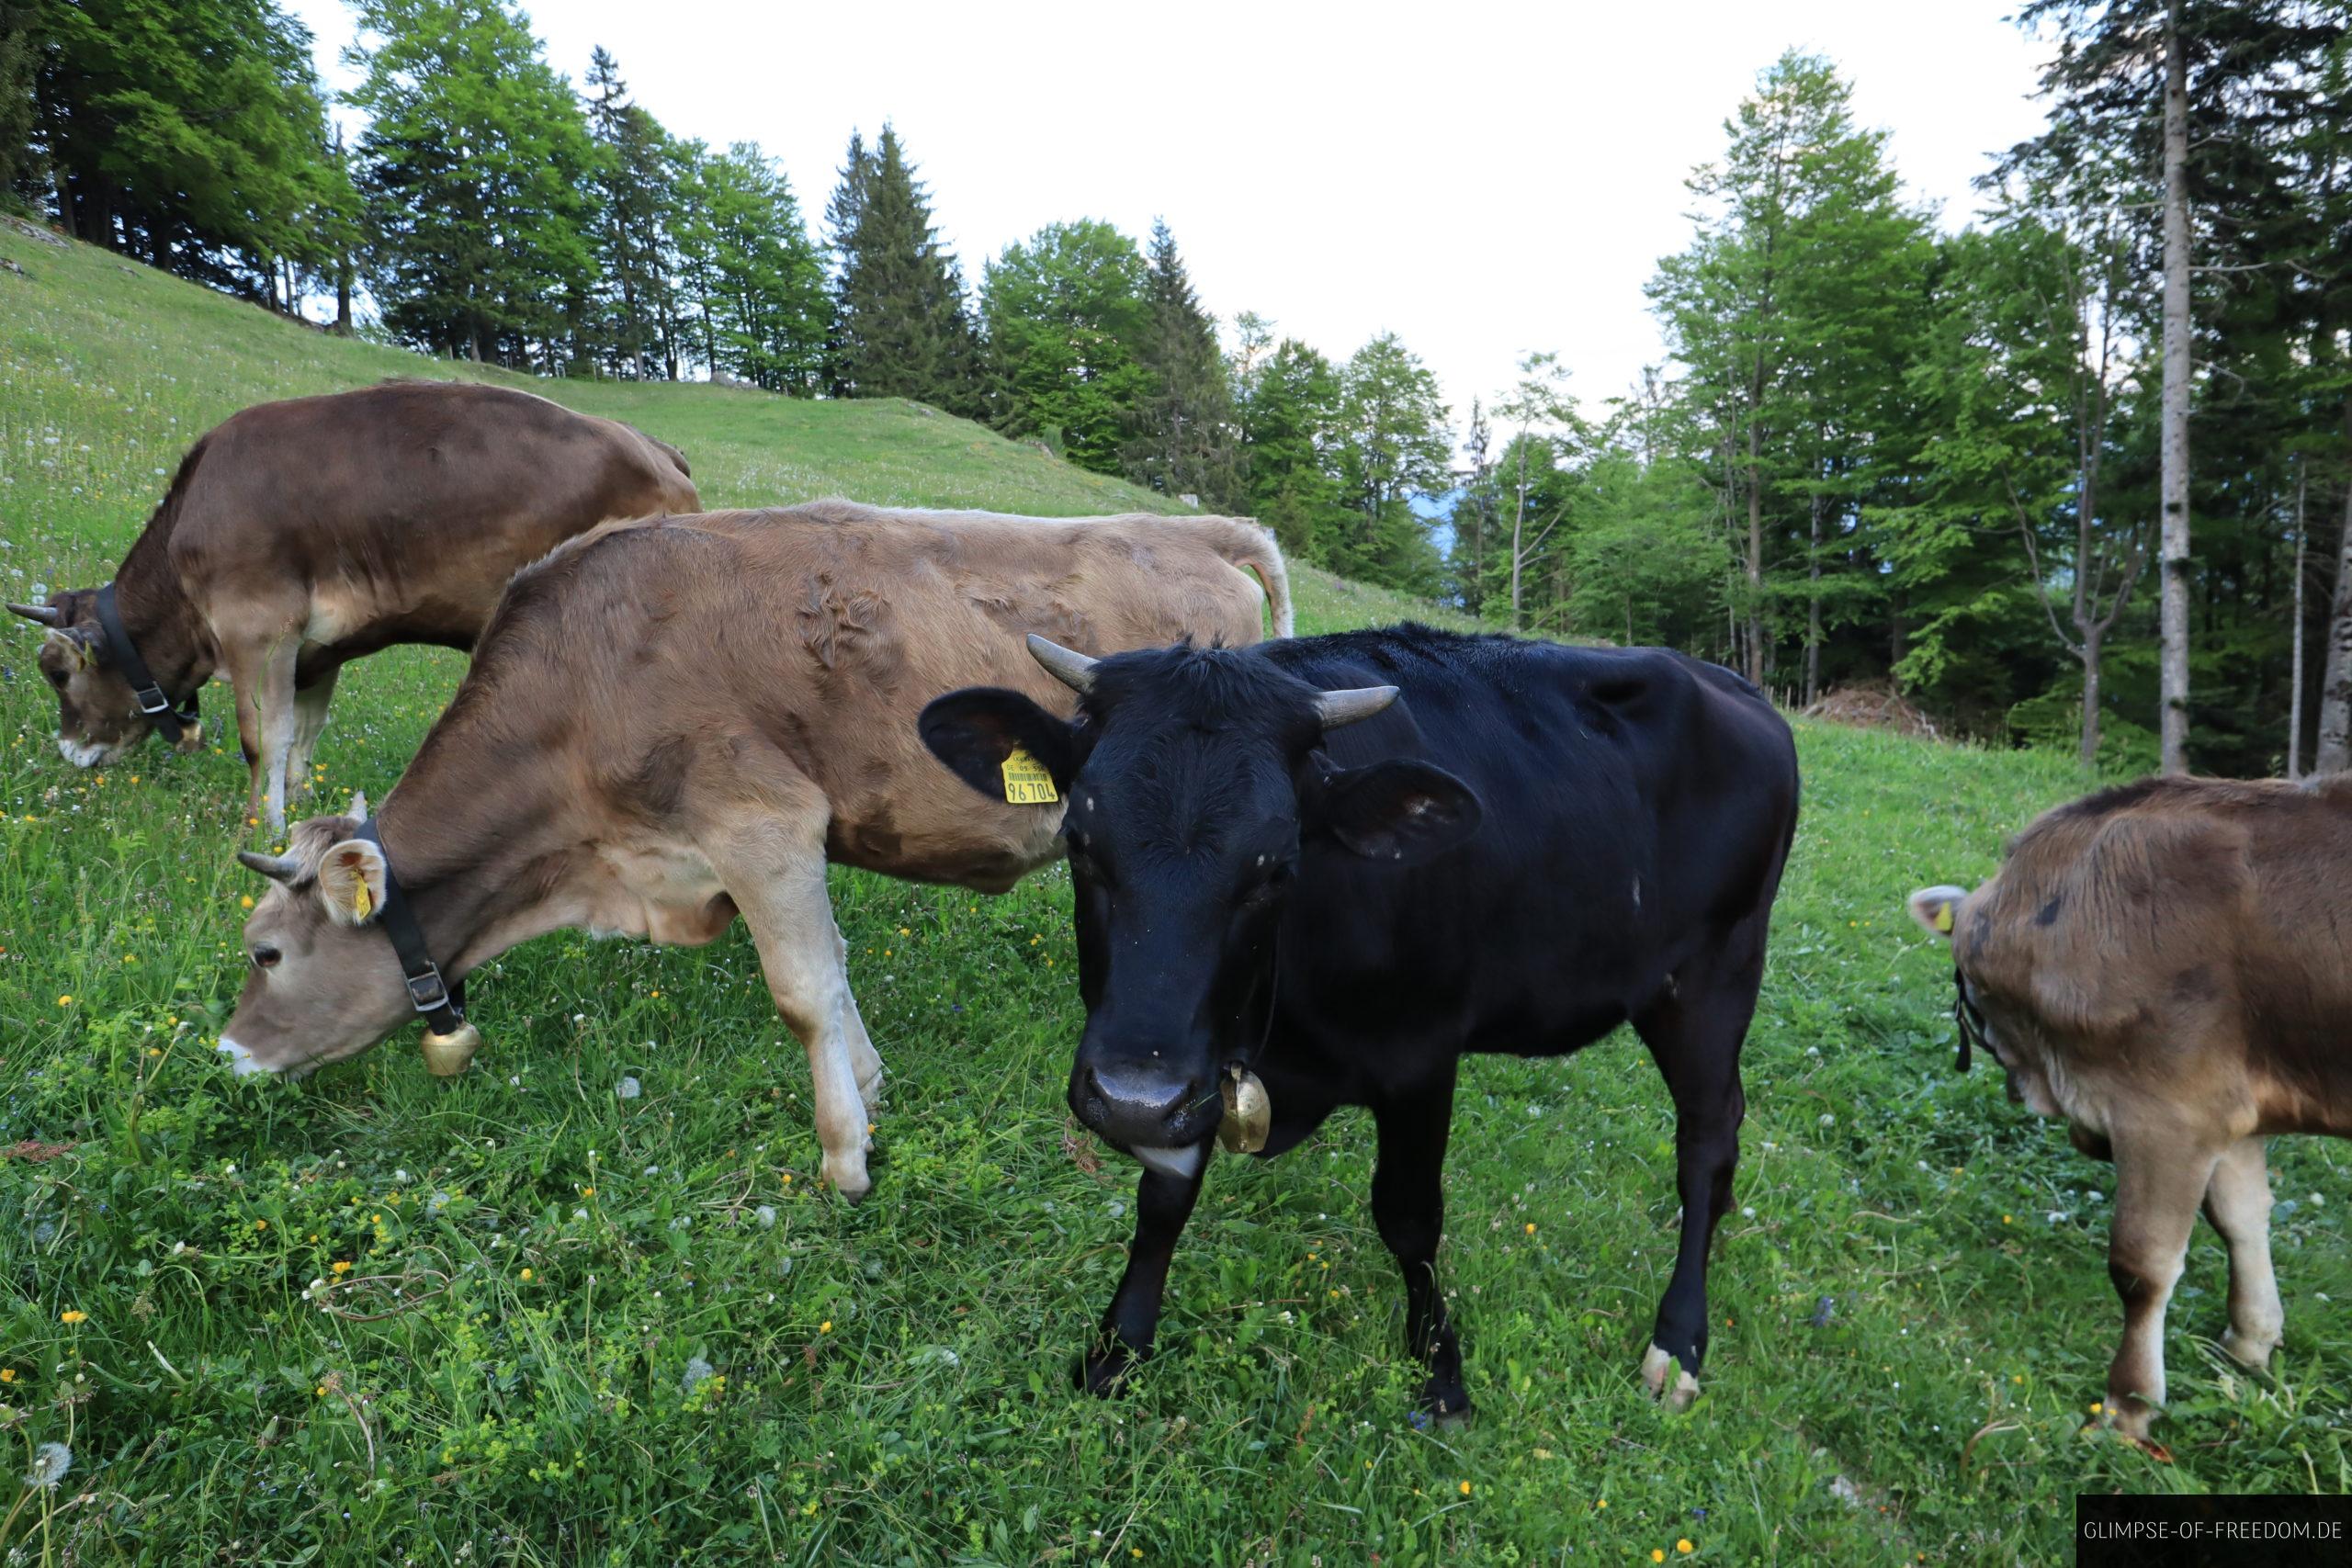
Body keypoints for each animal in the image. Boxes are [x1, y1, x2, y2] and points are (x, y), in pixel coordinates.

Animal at [8, 380, 701, 831]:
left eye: (58, 672)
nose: (69, 751)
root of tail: (655, 448)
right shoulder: (317, 652)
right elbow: (301, 740)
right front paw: (295, 820)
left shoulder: (256, 630)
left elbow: (262, 740)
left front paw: (256, 831)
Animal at [216, 503, 1293, 1204]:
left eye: (266, 952)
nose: (226, 1055)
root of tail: (1195, 527)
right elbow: (838, 969)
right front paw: (869, 1087)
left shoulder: (761, 822)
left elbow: (801, 992)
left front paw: (844, 1162)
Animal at [917, 625, 1799, 1417]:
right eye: (1080, 839)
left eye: (1278, 865)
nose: (1132, 1098)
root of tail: (1735, 683)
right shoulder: (1193, 1059)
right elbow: (1163, 1194)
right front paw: (1117, 1348)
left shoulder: (1421, 1058)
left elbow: (1409, 1217)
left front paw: (1440, 1367)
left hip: (1714, 978)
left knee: (1706, 1141)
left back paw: (1678, 1342)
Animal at [1908, 773, 2352, 1453]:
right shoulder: (2227, 1107)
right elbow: (2242, 1218)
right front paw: (2249, 1344)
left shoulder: (2167, 1110)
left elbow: (2141, 1265)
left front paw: (2127, 1407)